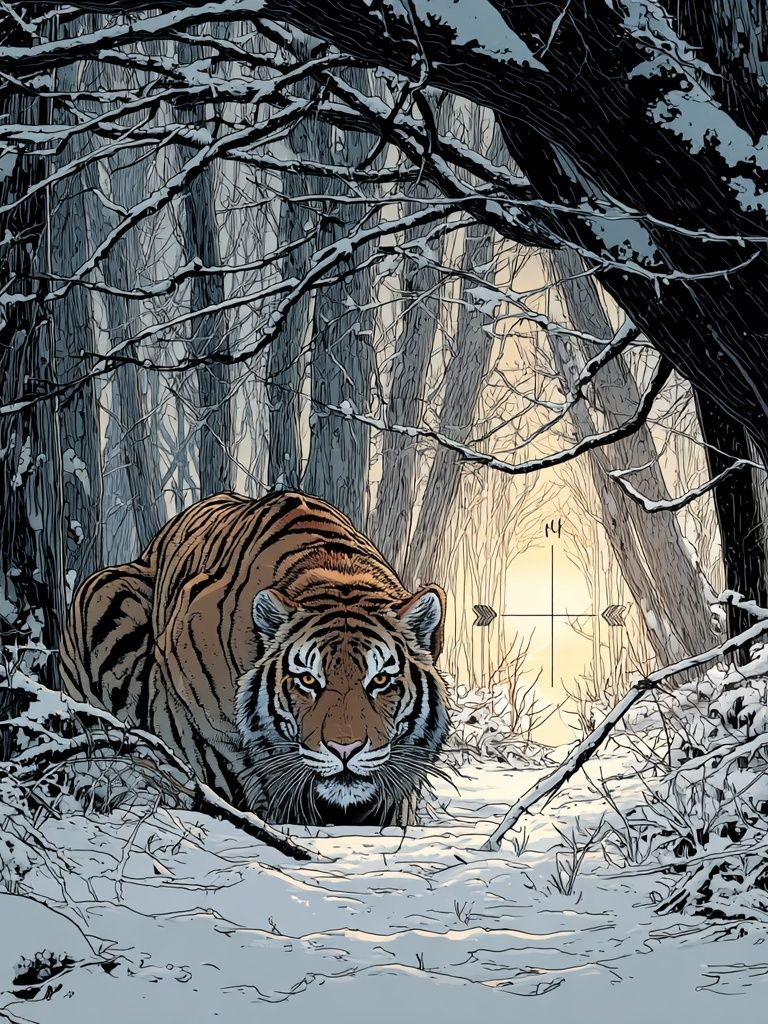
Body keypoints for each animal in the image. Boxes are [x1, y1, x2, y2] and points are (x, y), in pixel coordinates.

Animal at [59, 491, 450, 827]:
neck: (336, 574)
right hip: (105, 592)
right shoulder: (197, 710)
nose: (345, 750)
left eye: (380, 680)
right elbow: (229, 764)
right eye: (308, 680)